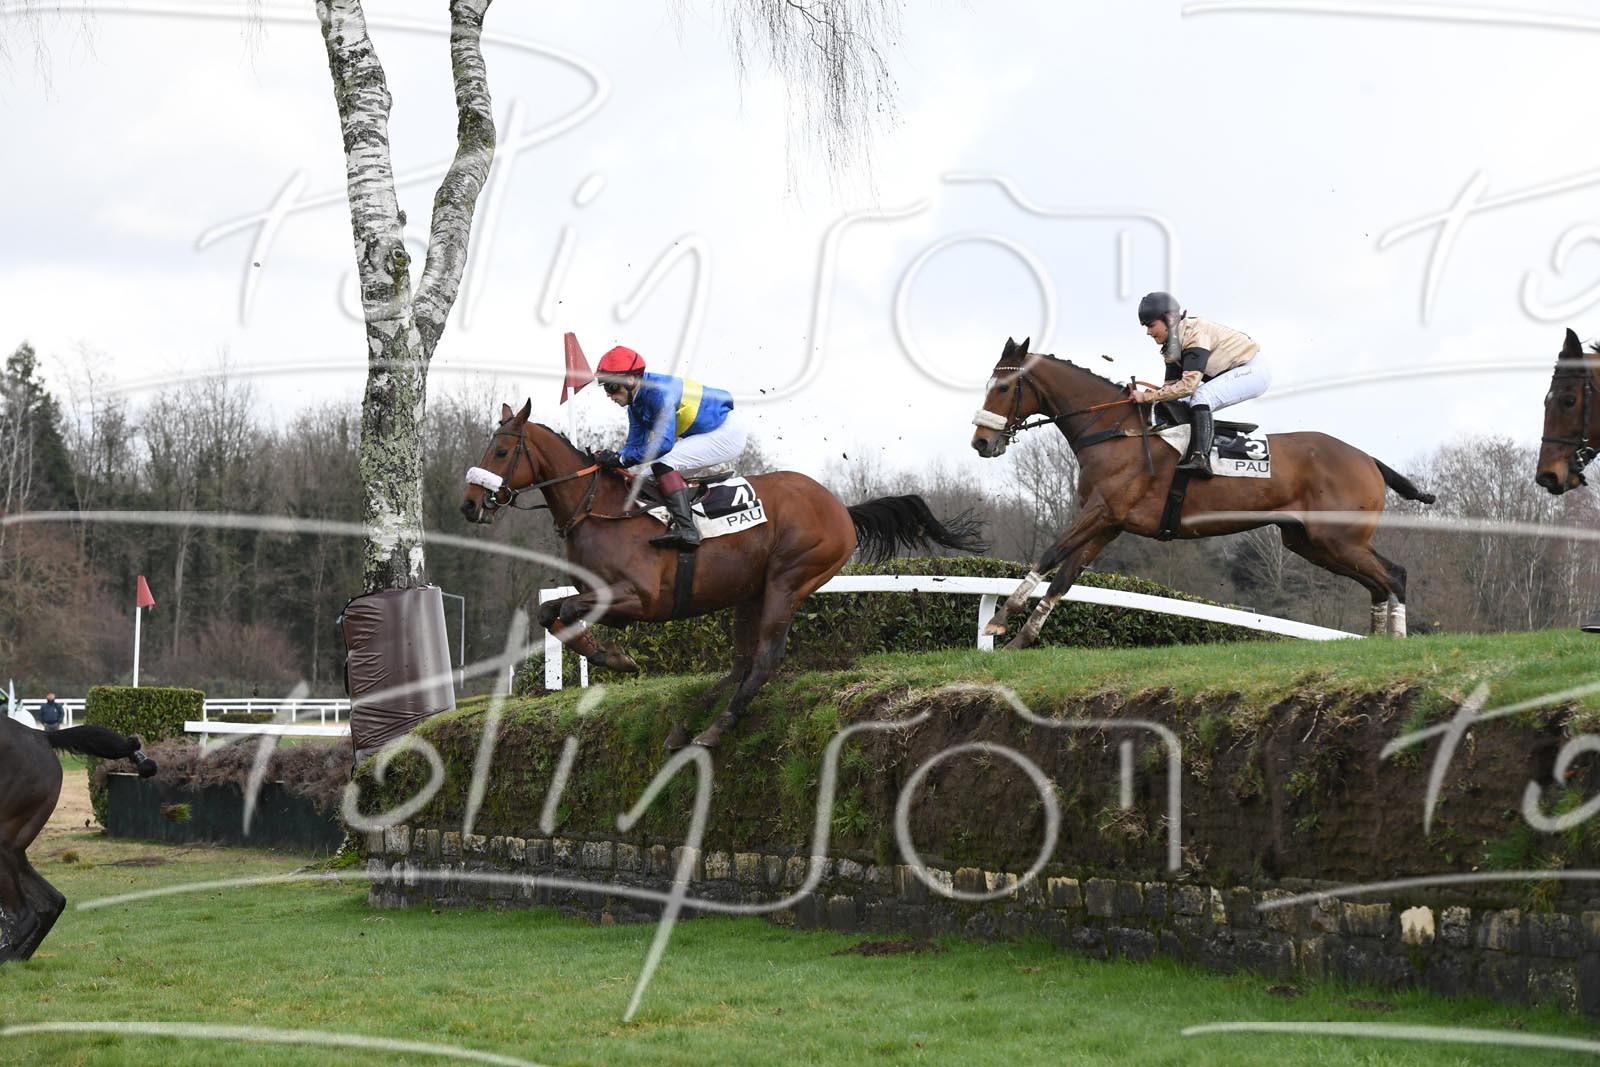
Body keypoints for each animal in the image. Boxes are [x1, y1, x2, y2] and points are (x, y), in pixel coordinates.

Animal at [460, 400, 987, 749]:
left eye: (502, 452)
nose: (470, 504)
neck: (604, 509)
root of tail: (840, 508)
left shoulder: (637, 599)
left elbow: (565, 611)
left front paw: (616, 658)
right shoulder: (603, 597)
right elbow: (552, 612)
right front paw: (610, 655)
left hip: (787, 581)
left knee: (765, 659)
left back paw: (716, 727)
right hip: (748, 593)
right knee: (740, 663)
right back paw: (686, 724)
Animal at [969, 338, 1436, 647]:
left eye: (1003, 388)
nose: (981, 443)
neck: (1115, 431)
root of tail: (1368, 459)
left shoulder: (1101, 511)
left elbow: (1049, 556)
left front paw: (999, 621)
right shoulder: (1109, 523)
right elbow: (1065, 578)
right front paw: (1020, 640)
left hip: (1336, 538)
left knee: (1395, 575)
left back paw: (1397, 640)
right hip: (1312, 543)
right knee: (1377, 583)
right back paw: (1378, 641)